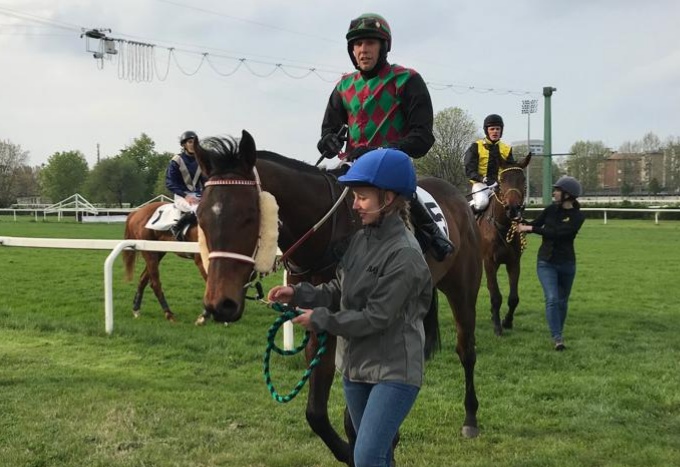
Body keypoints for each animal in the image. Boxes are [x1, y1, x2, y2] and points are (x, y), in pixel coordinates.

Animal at [193, 131, 484, 464]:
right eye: (200, 216)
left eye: (249, 216)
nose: (219, 304)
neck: (325, 235)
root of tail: (458, 197)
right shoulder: (319, 323)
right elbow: (316, 412)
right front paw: (350, 450)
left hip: (463, 290)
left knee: (466, 351)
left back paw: (470, 418)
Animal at [472, 156, 532, 336]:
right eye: (502, 179)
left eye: (523, 180)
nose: (513, 208)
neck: (502, 225)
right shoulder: (489, 262)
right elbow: (495, 295)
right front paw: (498, 326)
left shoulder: (514, 262)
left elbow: (513, 298)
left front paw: (507, 321)